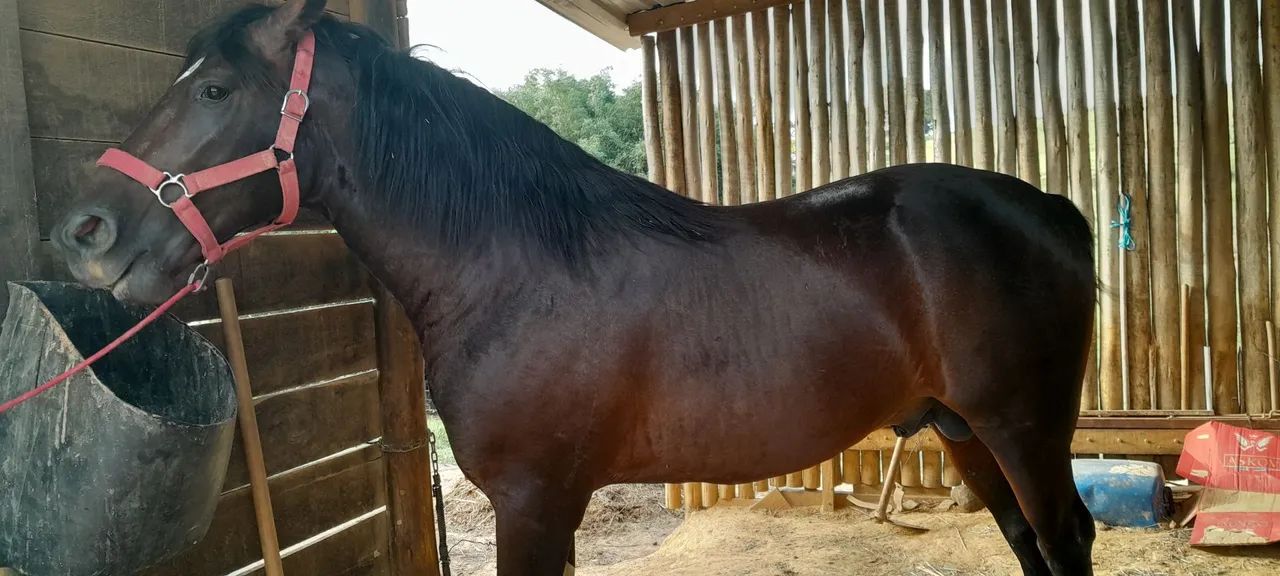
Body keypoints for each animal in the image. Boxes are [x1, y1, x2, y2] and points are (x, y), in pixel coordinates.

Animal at [52, 1, 1097, 574]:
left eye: (217, 89)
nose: (84, 231)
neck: (516, 271)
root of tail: (1048, 203)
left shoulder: (534, 499)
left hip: (1023, 428)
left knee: (1065, 537)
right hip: (963, 430)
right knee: (1029, 544)